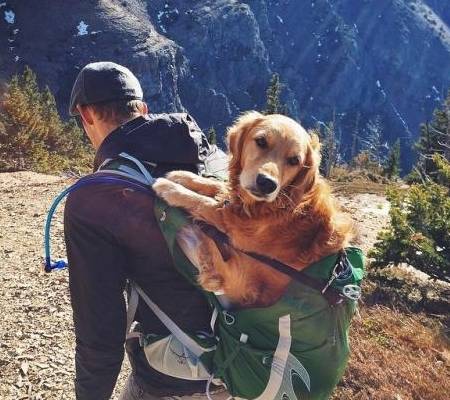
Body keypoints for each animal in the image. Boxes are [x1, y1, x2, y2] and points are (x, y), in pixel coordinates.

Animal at [153, 111, 354, 308]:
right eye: (261, 141)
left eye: (294, 160)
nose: (267, 184)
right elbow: (216, 186)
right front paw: (182, 176)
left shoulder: (235, 228)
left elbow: (202, 201)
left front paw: (169, 188)